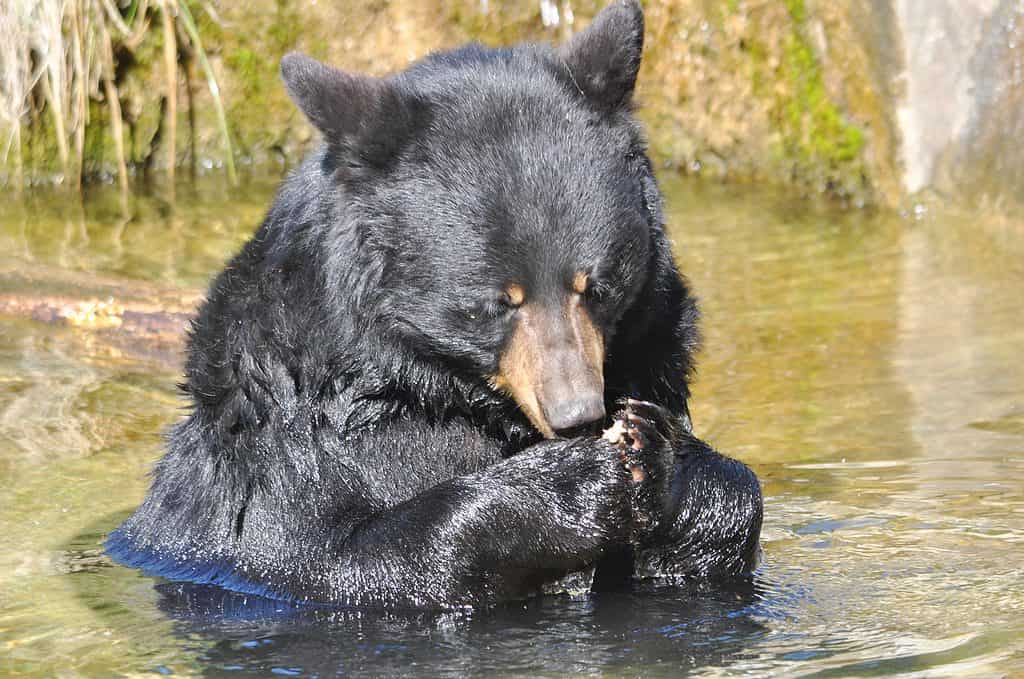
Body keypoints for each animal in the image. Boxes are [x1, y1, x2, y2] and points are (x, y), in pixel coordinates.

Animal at [108, 0, 761, 606]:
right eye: (498, 302)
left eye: (594, 286)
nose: (577, 413)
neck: (428, 384)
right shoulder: (287, 455)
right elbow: (336, 556)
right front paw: (573, 482)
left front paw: (664, 457)